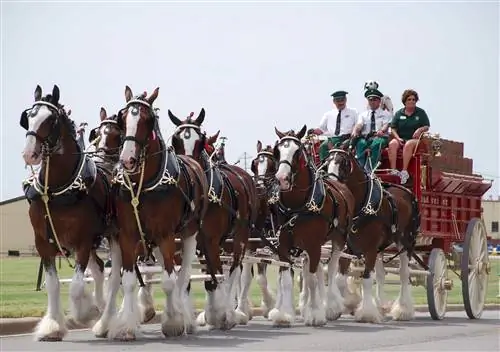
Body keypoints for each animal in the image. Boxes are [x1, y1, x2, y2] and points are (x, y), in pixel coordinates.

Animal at [20, 84, 109, 340]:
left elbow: (77, 286)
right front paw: (52, 325)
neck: (57, 190)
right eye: (29, 117)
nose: (29, 154)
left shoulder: (82, 240)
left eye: (51, 119)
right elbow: (53, 284)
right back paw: (102, 309)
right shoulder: (43, 241)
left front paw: (84, 312)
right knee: (99, 268)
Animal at [108, 86, 210, 340]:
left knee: (182, 277)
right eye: (123, 118)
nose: (127, 159)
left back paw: (185, 316)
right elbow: (129, 280)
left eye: (148, 120)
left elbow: (169, 281)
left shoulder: (166, 235)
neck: (144, 185)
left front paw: (173, 322)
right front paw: (126, 327)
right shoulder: (128, 234)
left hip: (188, 236)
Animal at [170, 109, 258, 328]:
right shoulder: (182, 242)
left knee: (233, 270)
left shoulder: (211, 241)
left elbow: (216, 277)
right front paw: (189, 318)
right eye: (176, 140)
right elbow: (186, 278)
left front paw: (219, 314)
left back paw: (231, 312)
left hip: (240, 238)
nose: (189, 167)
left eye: (200, 141)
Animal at [270, 126, 356, 328]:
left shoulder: (314, 245)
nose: (282, 178)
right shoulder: (284, 246)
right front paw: (285, 314)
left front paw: (316, 314)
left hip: (338, 240)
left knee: (330, 270)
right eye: (278, 151)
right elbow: (288, 280)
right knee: (313, 271)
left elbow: (312, 280)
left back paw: (330, 306)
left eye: (297, 152)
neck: (296, 206)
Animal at [326, 146, 420, 322]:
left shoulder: (369, 249)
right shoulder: (348, 248)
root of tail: (408, 192)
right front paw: (348, 304)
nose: (331, 184)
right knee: (382, 274)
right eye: (326, 163)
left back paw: (403, 309)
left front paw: (366, 313)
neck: (362, 205)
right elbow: (340, 279)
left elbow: (367, 280)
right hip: (381, 248)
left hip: (406, 242)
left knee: (404, 274)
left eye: (343, 164)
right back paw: (382, 306)